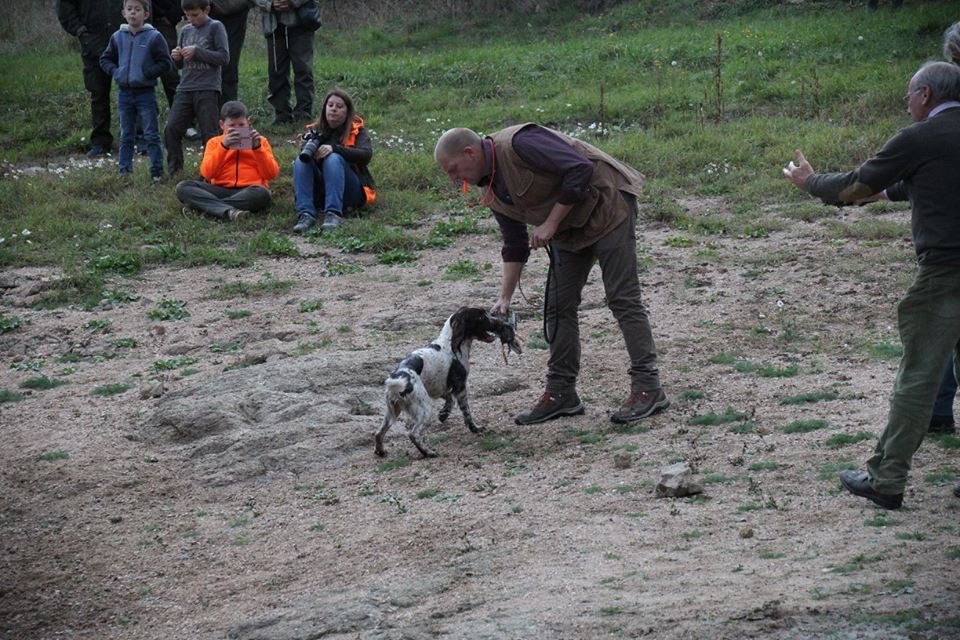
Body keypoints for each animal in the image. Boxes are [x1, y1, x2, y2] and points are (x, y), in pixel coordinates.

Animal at [376, 308, 524, 458]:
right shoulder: (460, 387)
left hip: (392, 413)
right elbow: (467, 413)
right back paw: (428, 452)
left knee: (378, 433)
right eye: (481, 316)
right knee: (413, 434)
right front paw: (475, 429)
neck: (450, 344)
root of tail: (399, 379)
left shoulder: (439, 387)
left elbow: (449, 399)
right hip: (425, 410)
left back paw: (380, 451)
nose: (500, 322)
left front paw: (444, 413)